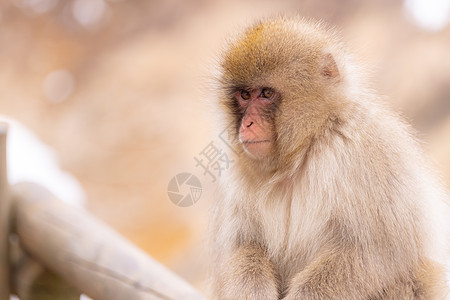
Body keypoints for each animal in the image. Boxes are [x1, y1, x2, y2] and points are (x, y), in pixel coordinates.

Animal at [210, 17, 450, 300]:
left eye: (266, 93)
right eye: (244, 95)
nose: (246, 124)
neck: (303, 149)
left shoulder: (364, 151)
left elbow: (378, 250)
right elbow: (244, 246)